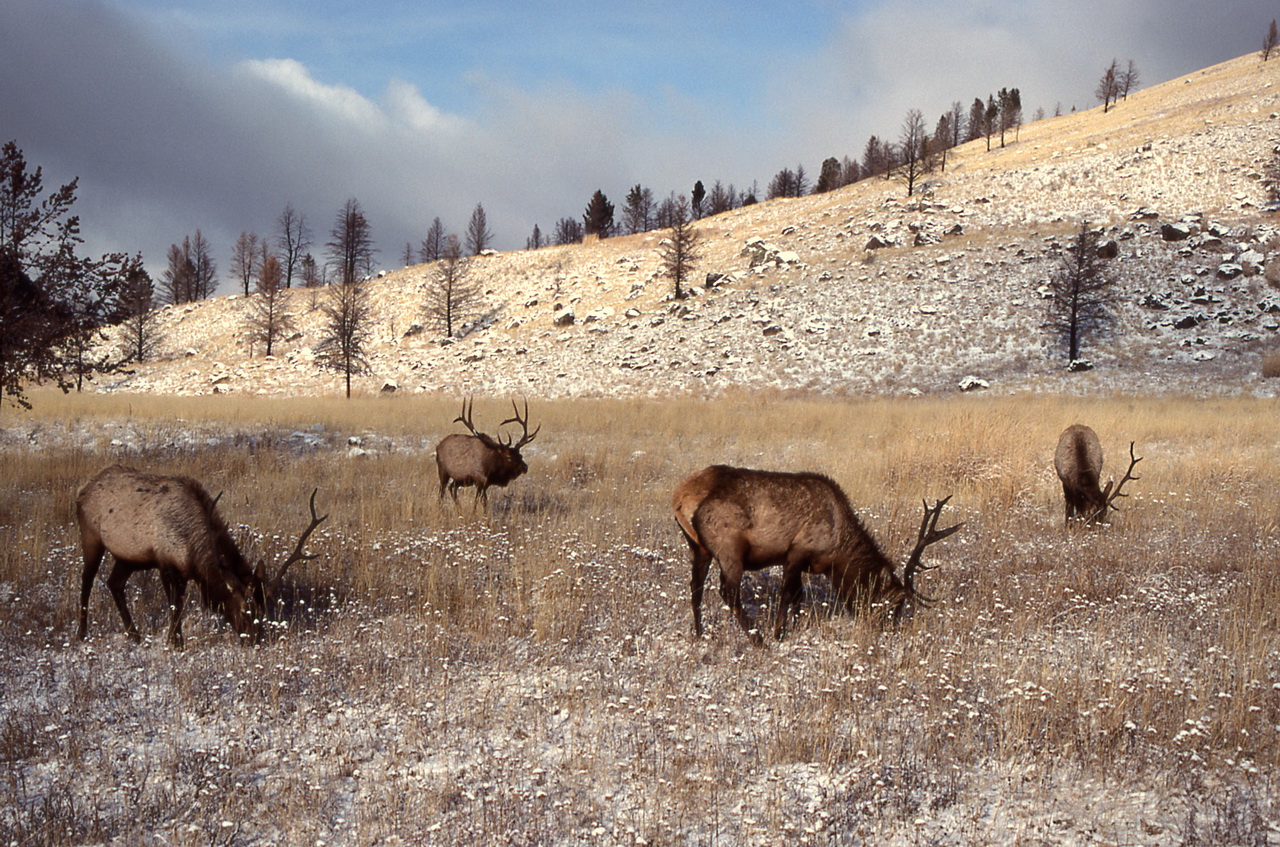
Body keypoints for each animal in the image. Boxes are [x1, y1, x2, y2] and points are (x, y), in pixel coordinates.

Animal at [74, 465, 327, 649]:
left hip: (127, 557)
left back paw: (134, 635)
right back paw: (82, 633)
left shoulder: (182, 571)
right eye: (244, 610)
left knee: (114, 583)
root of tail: (82, 490)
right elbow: (175, 606)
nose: (256, 640)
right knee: (87, 581)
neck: (192, 551)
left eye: (263, 610)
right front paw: (175, 643)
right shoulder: (166, 564)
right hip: (91, 536)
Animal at [680, 465, 962, 644]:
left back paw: (699, 633)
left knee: (696, 587)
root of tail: (681, 497)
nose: (888, 631)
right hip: (729, 548)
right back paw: (758, 639)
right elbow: (787, 595)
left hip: (698, 548)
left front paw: (794, 626)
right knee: (727, 591)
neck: (835, 555)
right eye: (894, 602)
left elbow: (798, 596)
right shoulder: (797, 550)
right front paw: (778, 634)